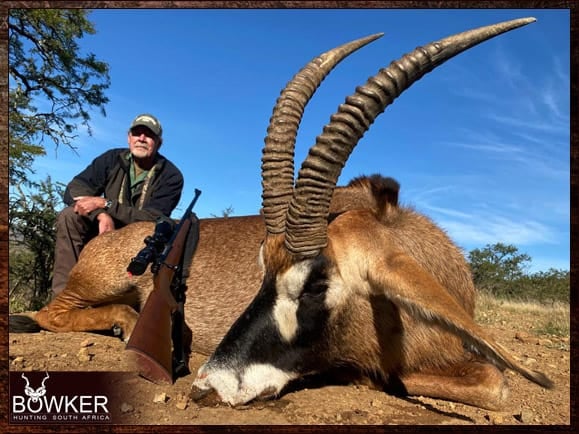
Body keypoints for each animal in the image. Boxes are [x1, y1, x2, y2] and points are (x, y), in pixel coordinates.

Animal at [9, 17, 552, 410]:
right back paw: (125, 321)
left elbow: (496, 384)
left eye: (316, 283)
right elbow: (486, 384)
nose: (207, 388)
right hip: (98, 283)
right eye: (262, 271)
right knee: (49, 312)